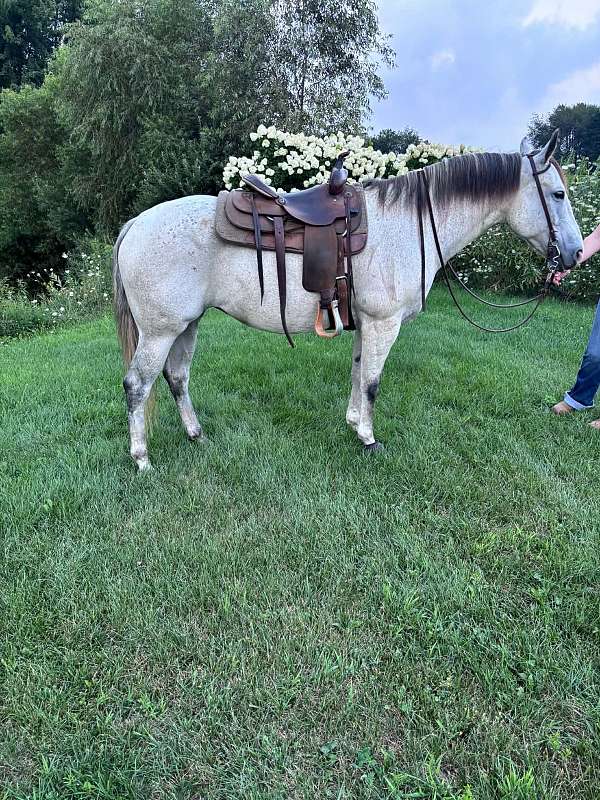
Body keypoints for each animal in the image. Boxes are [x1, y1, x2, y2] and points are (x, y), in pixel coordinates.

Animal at [113, 131, 583, 470]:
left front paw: (354, 423)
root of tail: (136, 223)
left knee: (177, 378)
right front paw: (369, 439)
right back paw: (142, 459)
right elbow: (373, 382)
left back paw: (196, 435)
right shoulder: (383, 322)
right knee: (138, 385)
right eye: (558, 194)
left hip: (186, 325)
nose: (577, 254)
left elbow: (358, 374)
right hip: (159, 331)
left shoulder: (365, 322)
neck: (408, 225)